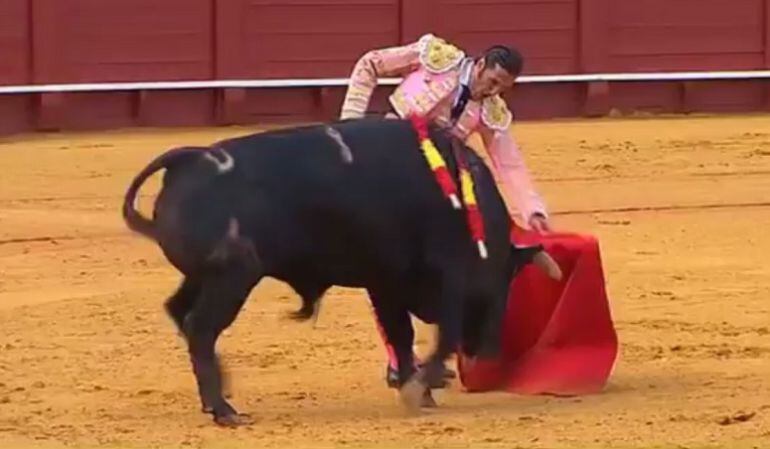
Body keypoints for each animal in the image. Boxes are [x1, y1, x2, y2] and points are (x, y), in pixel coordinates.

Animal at [123, 117, 560, 426]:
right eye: (505, 279)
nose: (488, 348)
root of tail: (190, 158)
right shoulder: (447, 275)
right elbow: (443, 333)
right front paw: (421, 386)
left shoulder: (387, 282)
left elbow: (402, 336)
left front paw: (416, 389)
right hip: (232, 277)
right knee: (200, 327)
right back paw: (224, 410)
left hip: (204, 277)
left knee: (179, 312)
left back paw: (217, 397)